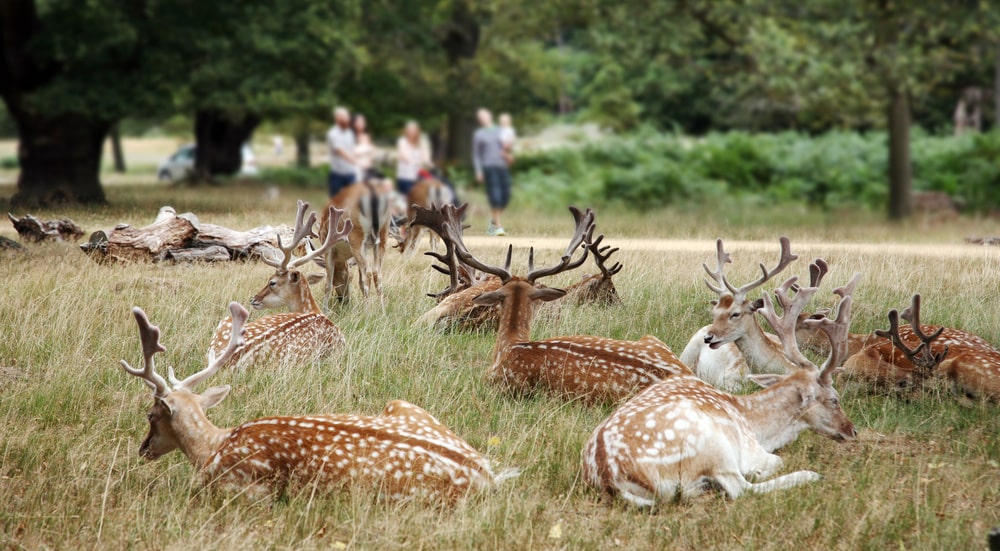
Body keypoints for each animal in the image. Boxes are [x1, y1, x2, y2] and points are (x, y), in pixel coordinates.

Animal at [122, 302, 520, 500]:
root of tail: (488, 475)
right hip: (403, 404)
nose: (143, 450)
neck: (212, 447)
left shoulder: (241, 489)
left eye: (151, 415)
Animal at [584, 270, 860, 506]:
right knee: (741, 489)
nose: (852, 430)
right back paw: (807, 475)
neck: (758, 425)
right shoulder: (750, 449)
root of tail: (611, 476)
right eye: (834, 399)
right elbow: (775, 461)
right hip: (713, 445)